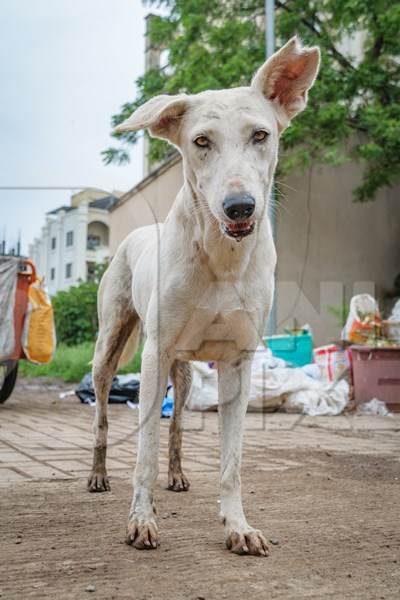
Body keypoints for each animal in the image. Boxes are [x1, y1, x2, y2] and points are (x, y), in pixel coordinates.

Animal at [87, 35, 318, 556]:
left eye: (260, 135)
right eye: (201, 142)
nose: (239, 207)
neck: (221, 258)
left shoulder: (237, 363)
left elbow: (231, 463)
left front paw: (238, 526)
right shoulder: (153, 357)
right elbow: (144, 454)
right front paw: (141, 521)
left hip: (187, 373)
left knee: (176, 426)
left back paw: (177, 476)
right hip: (110, 348)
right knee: (104, 417)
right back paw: (97, 475)